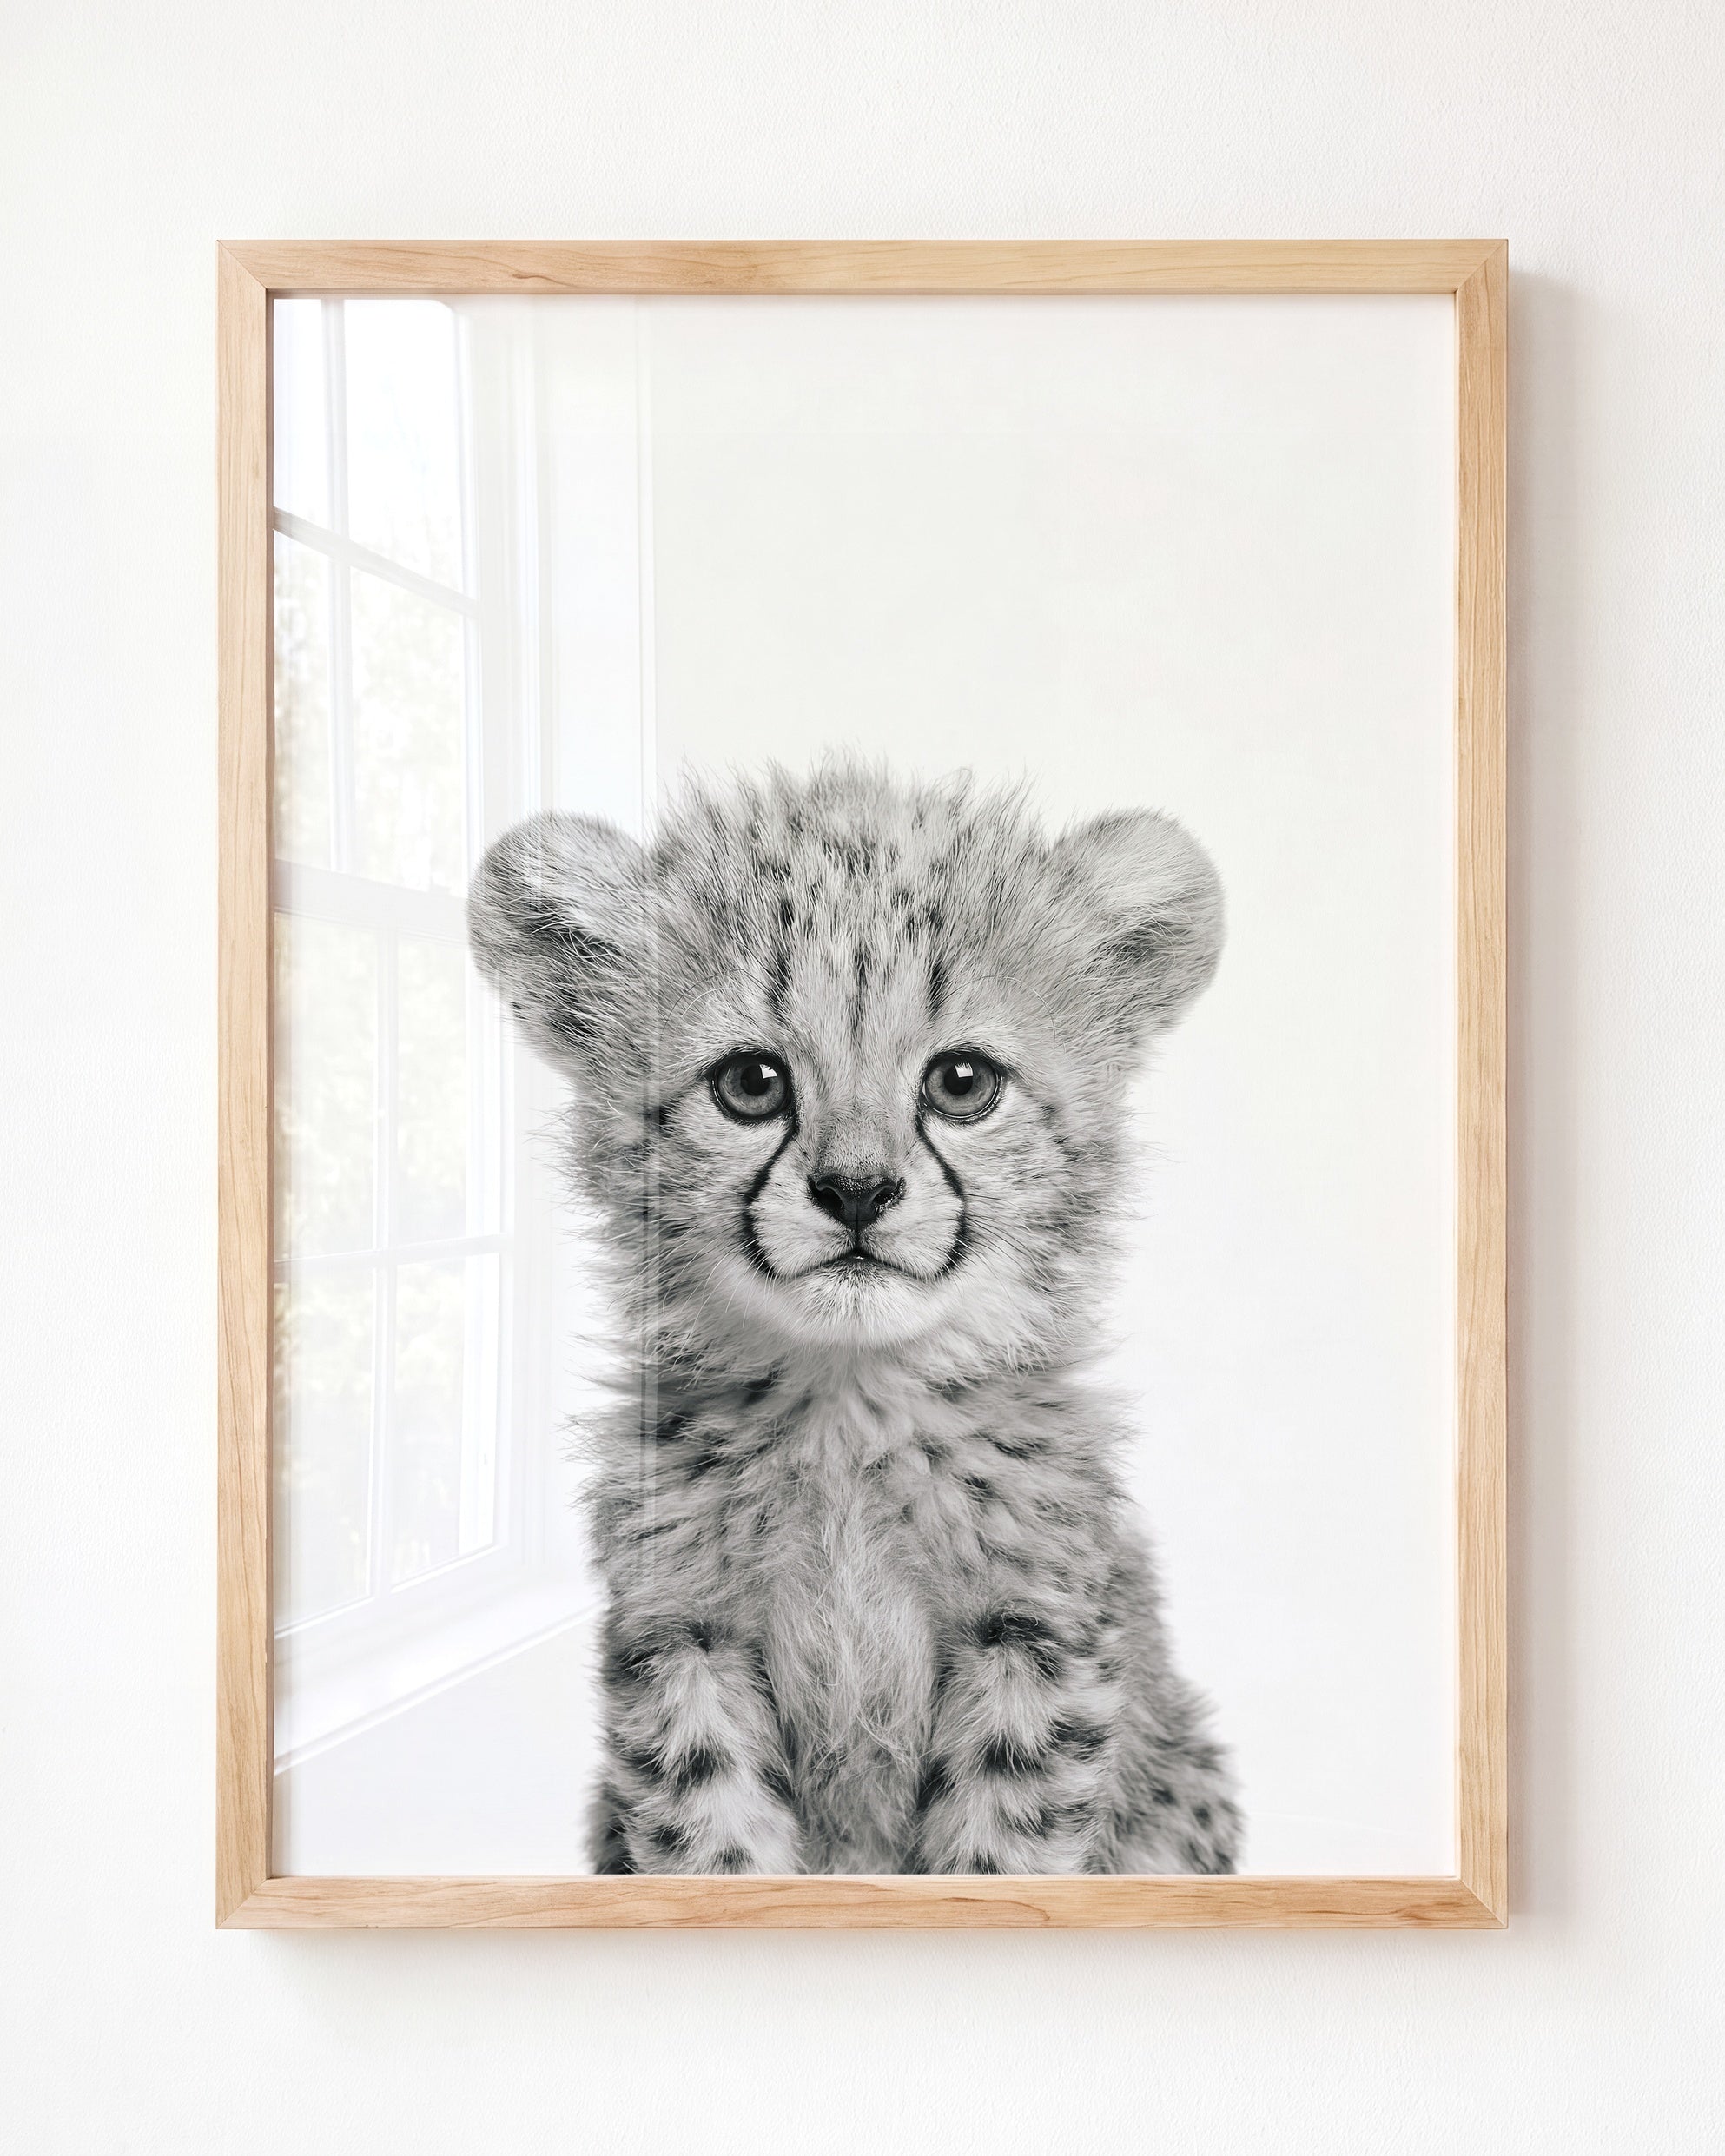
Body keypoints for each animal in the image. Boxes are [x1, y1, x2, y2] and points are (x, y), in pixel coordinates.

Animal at [468, 759, 1242, 1874]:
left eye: (962, 1082)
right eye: (751, 1083)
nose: (857, 1191)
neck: (848, 1405)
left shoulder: (1035, 1637)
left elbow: (998, 1852)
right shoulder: (684, 1637)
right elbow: (715, 1843)